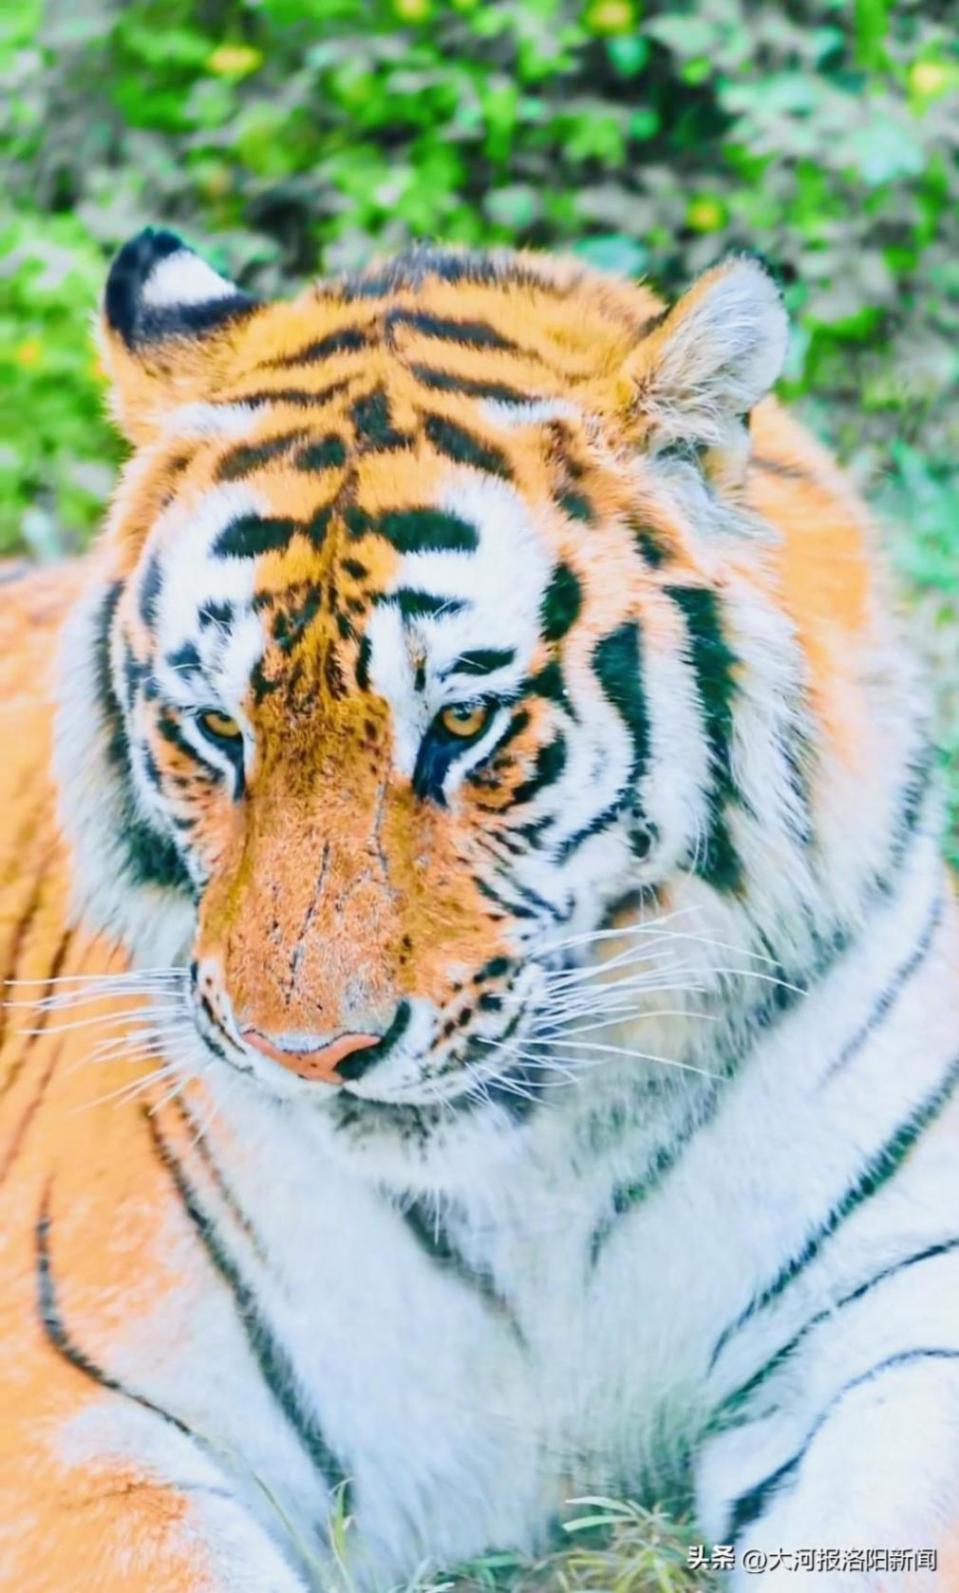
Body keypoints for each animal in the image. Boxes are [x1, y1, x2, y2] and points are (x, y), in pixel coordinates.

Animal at [0, 225, 957, 1593]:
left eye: (461, 721)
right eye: (217, 732)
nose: (310, 1053)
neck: (539, 1187)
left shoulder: (902, 1322)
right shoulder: (85, 1416)